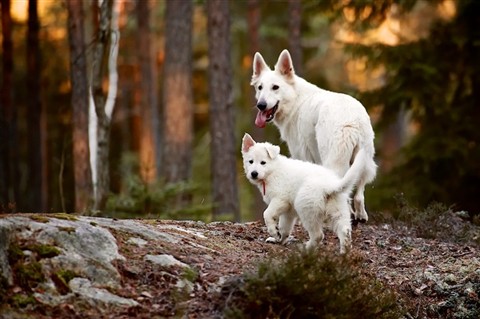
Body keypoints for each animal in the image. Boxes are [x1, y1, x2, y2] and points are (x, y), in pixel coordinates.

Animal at [249, 51, 376, 224]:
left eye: (275, 87)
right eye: (260, 87)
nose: (261, 105)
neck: (295, 100)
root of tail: (350, 120)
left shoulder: (301, 155)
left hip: (333, 160)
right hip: (364, 160)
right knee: (358, 194)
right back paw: (360, 216)